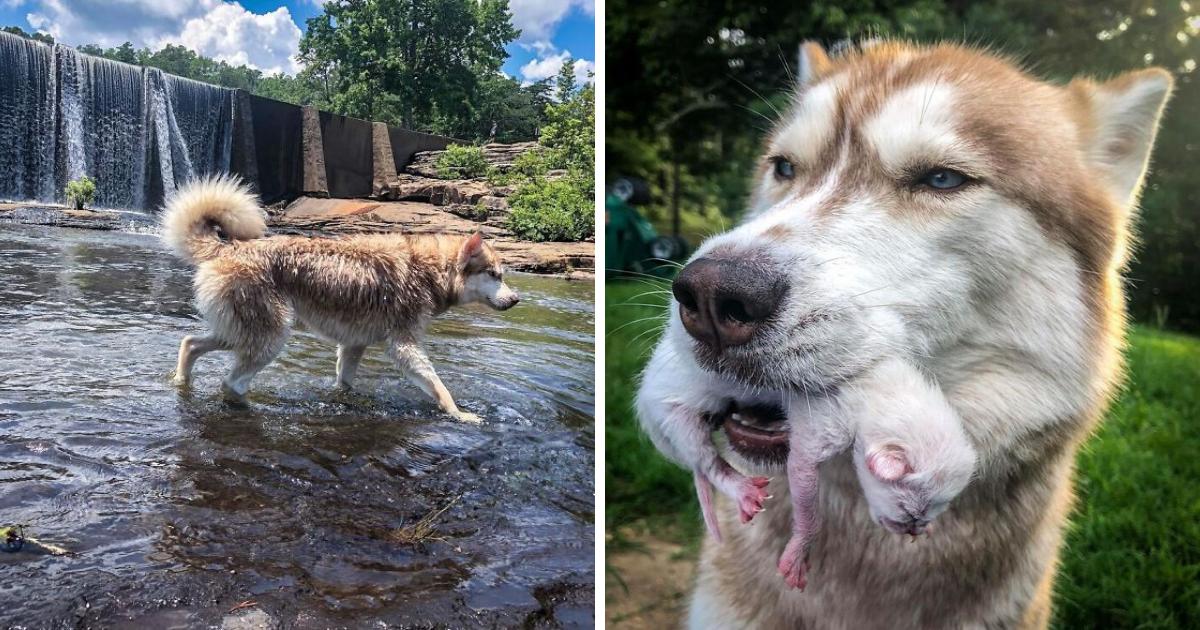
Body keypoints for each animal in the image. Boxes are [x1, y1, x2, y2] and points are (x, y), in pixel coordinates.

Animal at [162, 175, 518, 422]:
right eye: (494, 274)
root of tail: (231, 247)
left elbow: (345, 383)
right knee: (231, 382)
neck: (429, 270)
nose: (516, 299)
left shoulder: (353, 345)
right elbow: (438, 386)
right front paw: (459, 414)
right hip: (269, 337)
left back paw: (181, 380)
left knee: (190, 343)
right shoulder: (404, 346)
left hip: (239, 331)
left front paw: (345, 400)